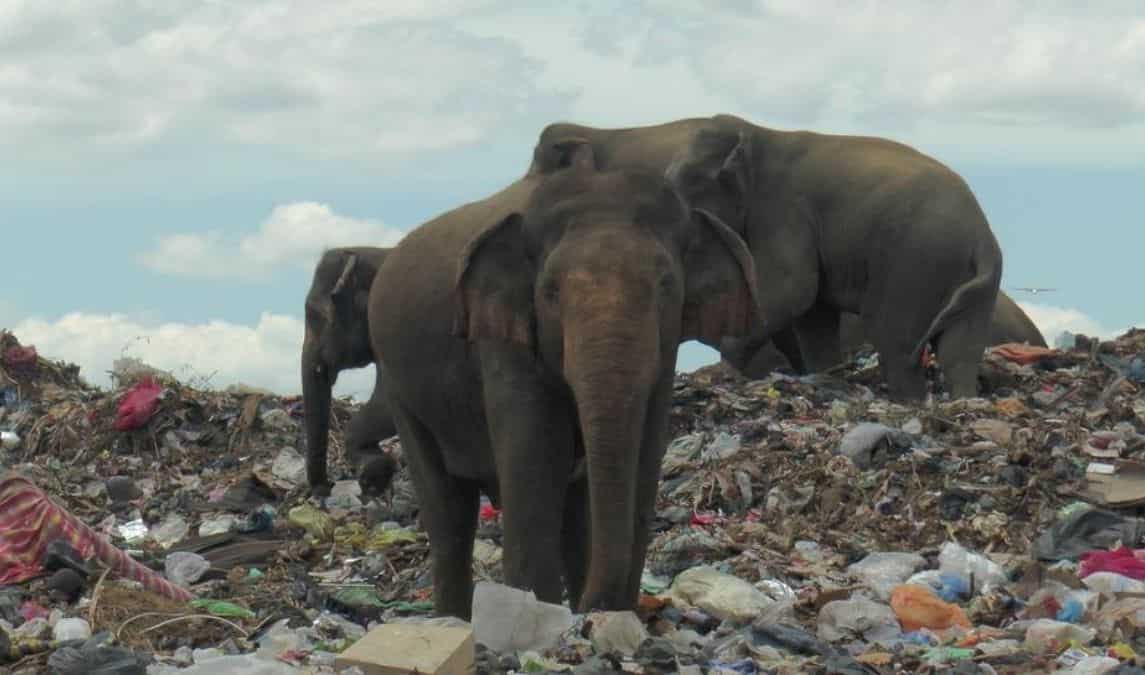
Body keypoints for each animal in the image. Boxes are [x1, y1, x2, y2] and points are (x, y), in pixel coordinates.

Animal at [369, 147, 762, 619]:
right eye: (551, 292)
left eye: (667, 286)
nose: (594, 610)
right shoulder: (502, 339)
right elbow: (539, 454)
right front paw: (535, 613)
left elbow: (645, 453)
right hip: (400, 387)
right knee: (449, 512)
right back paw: (452, 622)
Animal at [528, 114, 1004, 401]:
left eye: (686, 184)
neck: (759, 134)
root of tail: (983, 237)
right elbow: (813, 311)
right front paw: (823, 375)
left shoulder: (784, 207)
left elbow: (795, 288)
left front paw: (728, 368)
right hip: (955, 275)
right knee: (959, 348)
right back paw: (960, 400)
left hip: (914, 264)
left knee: (897, 341)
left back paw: (910, 401)